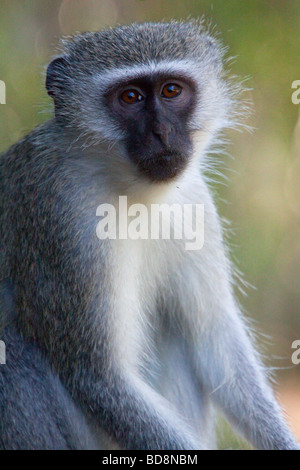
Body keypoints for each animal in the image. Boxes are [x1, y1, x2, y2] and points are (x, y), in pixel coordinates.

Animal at [0, 20, 298, 450]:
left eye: (171, 91)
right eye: (130, 97)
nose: (162, 133)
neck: (136, 193)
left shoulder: (194, 202)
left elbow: (215, 345)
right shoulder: (62, 222)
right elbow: (99, 378)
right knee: (12, 354)